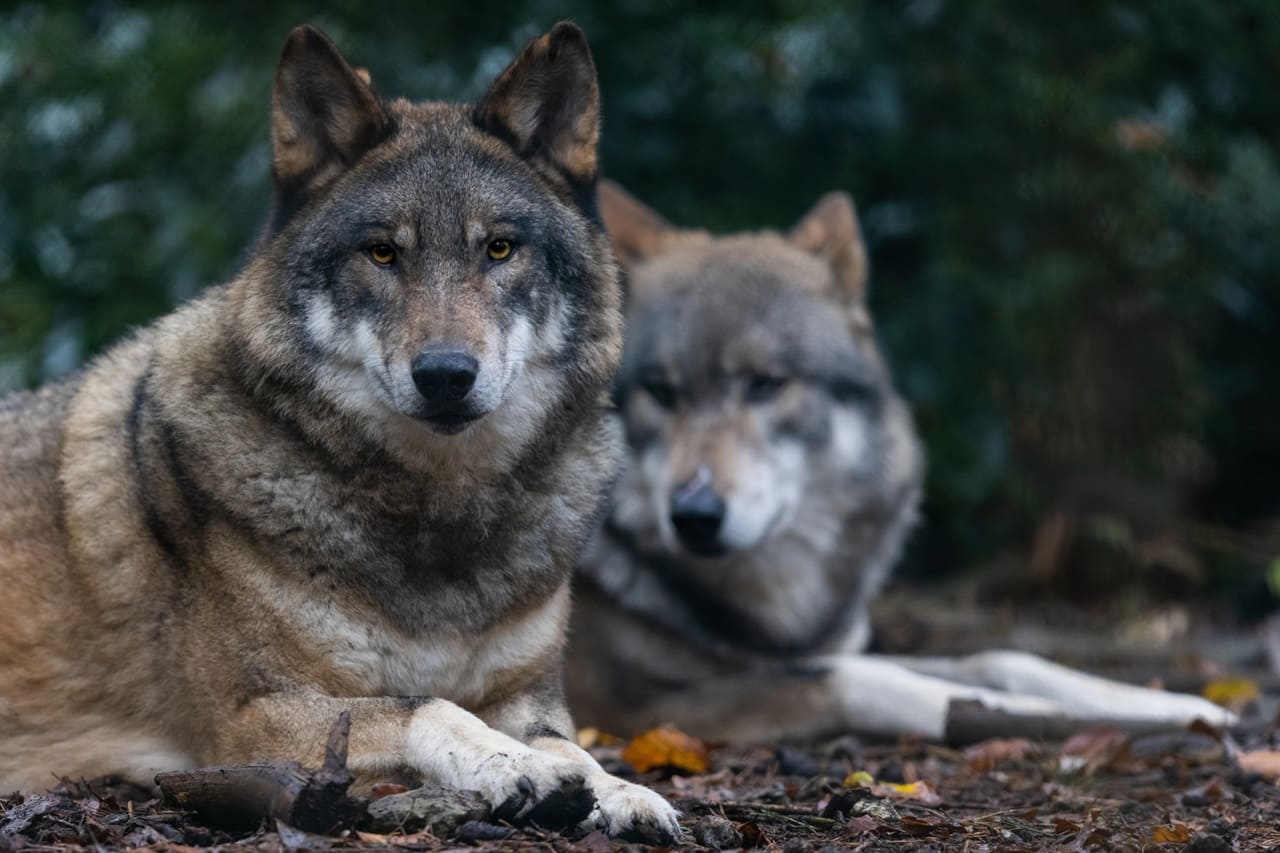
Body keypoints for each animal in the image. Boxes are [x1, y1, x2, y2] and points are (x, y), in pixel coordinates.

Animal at [0, 25, 679, 841]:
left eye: (499, 249)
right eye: (383, 252)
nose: (445, 374)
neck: (441, 521)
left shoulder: (528, 697)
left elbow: (566, 743)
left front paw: (619, 789)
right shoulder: (252, 717)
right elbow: (429, 706)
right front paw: (517, 767)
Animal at [566, 180, 1233, 743]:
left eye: (765, 385)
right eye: (662, 393)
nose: (694, 516)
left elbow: (1002, 656)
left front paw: (1180, 706)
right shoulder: (636, 710)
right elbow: (867, 678)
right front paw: (1025, 714)